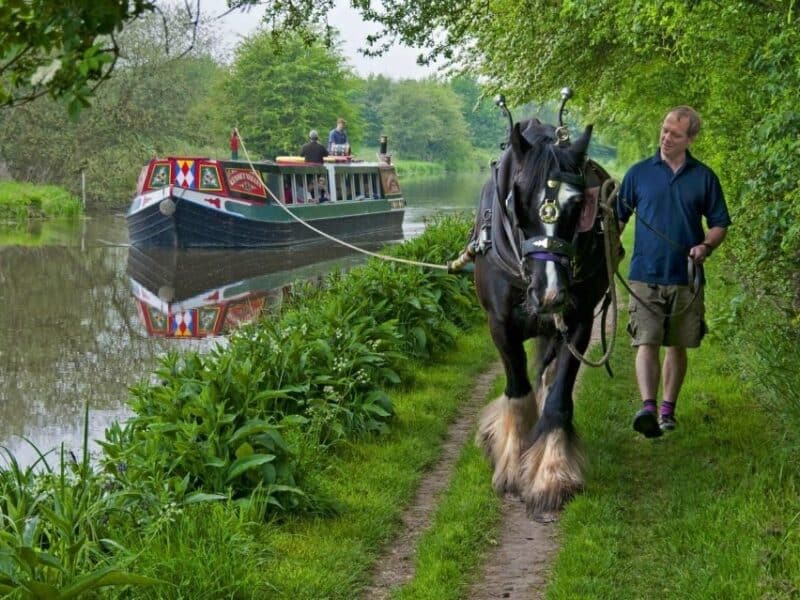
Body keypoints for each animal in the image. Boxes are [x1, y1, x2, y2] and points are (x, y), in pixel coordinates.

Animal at [472, 113, 616, 520]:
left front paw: (550, 474)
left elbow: (557, 398)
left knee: (549, 378)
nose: (550, 293)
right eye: (517, 199)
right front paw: (510, 461)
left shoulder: (579, 321)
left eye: (579, 204)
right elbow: (518, 389)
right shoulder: (499, 325)